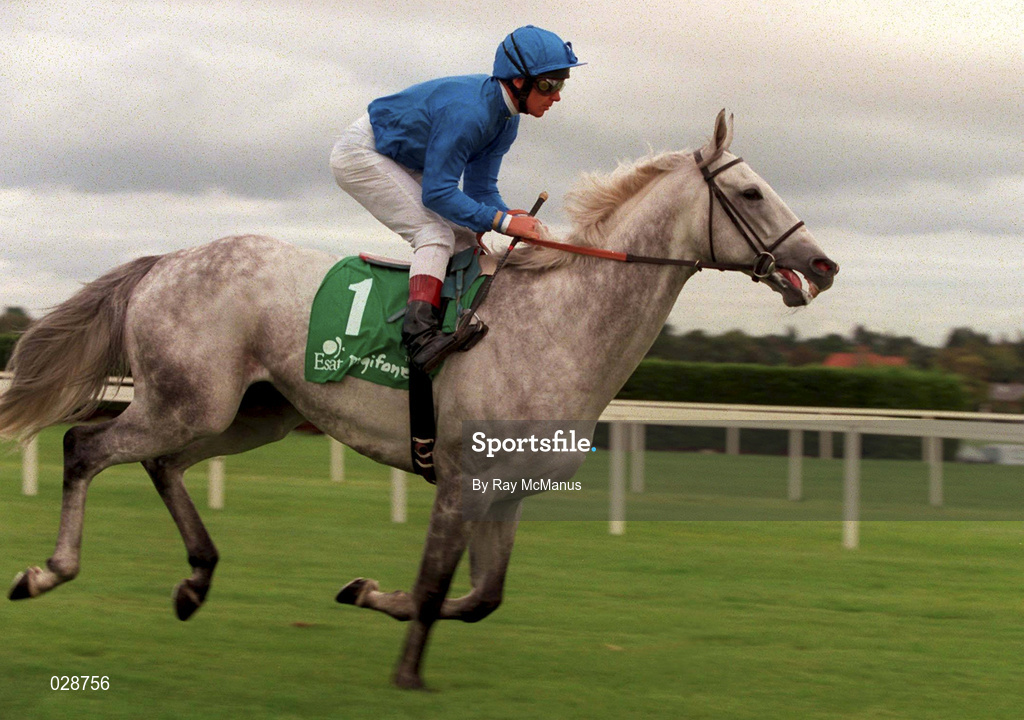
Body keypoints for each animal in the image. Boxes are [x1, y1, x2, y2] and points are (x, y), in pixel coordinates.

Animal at [0, 110, 837, 689]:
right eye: (751, 190)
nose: (823, 264)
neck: (558, 323)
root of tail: (165, 260)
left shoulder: (507, 491)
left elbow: (481, 596)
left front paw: (369, 591)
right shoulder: (462, 482)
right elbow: (439, 585)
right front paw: (406, 672)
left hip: (246, 413)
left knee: (159, 464)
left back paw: (195, 579)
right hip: (191, 402)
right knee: (85, 446)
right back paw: (48, 572)